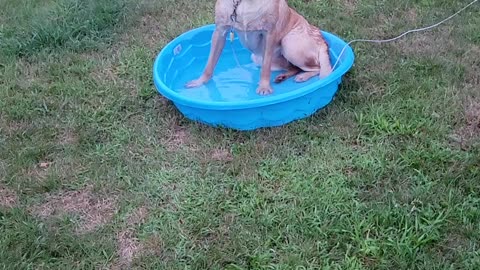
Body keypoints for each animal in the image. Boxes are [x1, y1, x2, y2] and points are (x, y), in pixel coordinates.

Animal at [186, 0, 332, 95]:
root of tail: (321, 38)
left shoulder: (269, 34)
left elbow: (265, 69)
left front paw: (264, 87)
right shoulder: (219, 32)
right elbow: (209, 64)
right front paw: (200, 81)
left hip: (289, 44)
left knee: (318, 68)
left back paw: (303, 76)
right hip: (259, 58)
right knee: (294, 68)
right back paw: (282, 77)